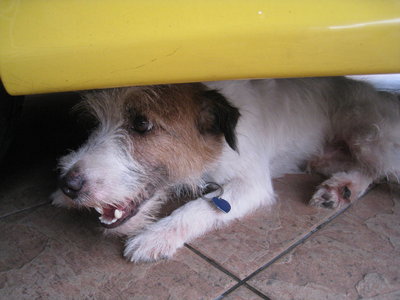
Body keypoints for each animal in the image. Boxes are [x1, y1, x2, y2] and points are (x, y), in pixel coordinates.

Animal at [52, 77, 400, 262]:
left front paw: (155, 237)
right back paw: (341, 188)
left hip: (369, 137)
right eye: (96, 122)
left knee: (380, 167)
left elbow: (195, 208)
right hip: (328, 155)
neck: (219, 144)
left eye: (141, 123)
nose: (69, 184)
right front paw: (60, 196)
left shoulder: (251, 183)